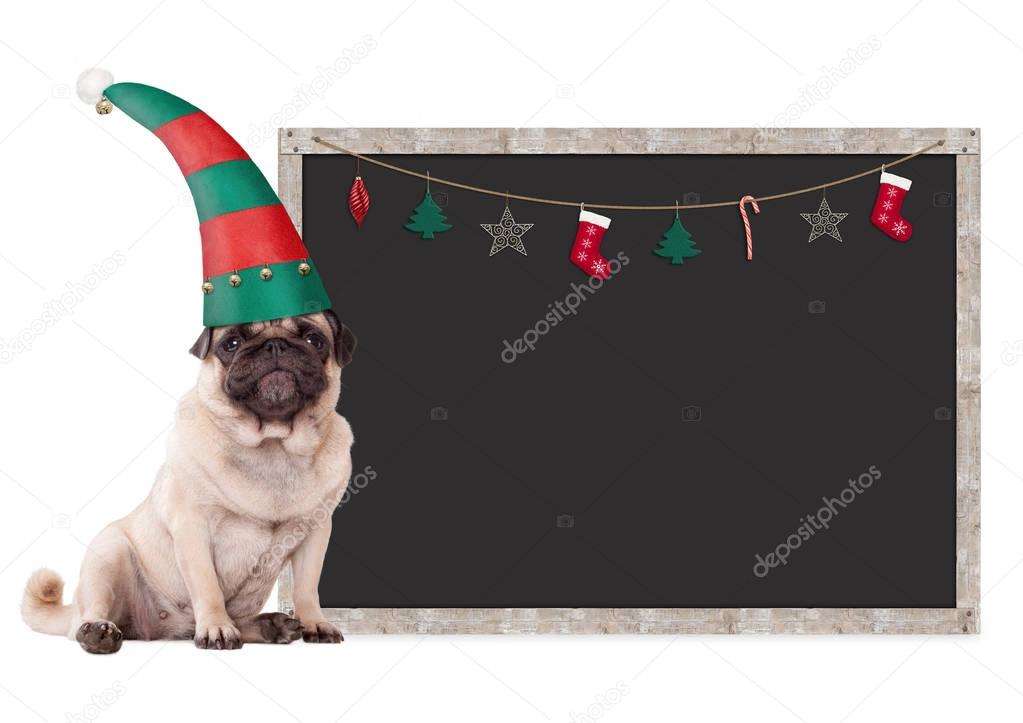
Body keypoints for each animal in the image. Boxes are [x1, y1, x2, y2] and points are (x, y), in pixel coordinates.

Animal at [20, 308, 356, 654]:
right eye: (231, 343)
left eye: (314, 340)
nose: (275, 345)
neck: (273, 444)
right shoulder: (193, 528)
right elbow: (208, 588)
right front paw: (217, 628)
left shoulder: (315, 532)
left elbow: (307, 587)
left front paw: (315, 622)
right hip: (108, 555)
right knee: (90, 614)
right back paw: (98, 631)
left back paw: (270, 626)